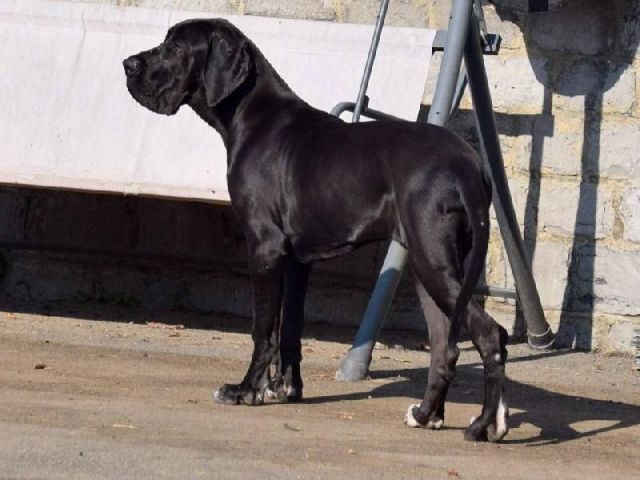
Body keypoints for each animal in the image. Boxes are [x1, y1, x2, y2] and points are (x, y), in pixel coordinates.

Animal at [123, 18, 509, 442]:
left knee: (491, 335)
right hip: (430, 269)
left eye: (175, 47)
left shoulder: (265, 247)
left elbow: (263, 329)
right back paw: (426, 415)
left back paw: (485, 425)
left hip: (433, 263)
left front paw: (245, 390)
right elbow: (290, 328)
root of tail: (468, 163)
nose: (128, 64)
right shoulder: (296, 259)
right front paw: (286, 388)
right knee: (445, 347)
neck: (252, 114)